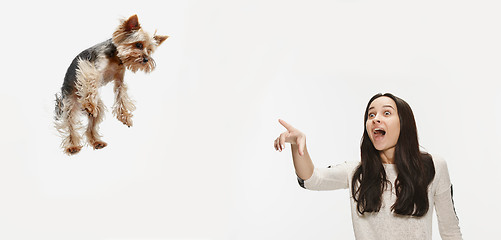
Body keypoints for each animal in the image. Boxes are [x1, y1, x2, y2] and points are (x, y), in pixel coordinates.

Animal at [54, 14, 168, 156]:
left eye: (150, 50)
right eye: (139, 44)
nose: (146, 59)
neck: (117, 58)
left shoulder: (119, 79)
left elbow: (121, 96)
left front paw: (125, 116)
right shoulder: (91, 68)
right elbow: (91, 80)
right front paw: (89, 104)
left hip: (98, 110)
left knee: (91, 125)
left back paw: (96, 141)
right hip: (69, 102)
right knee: (70, 124)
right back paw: (72, 145)